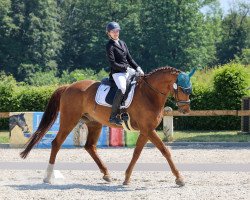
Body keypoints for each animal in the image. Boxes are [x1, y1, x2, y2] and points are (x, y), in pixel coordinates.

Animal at [20, 67, 195, 186]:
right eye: (181, 88)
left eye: (190, 89)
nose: (186, 110)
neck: (149, 94)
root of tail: (68, 86)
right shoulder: (148, 130)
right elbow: (165, 151)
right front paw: (179, 178)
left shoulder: (146, 131)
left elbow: (136, 154)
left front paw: (126, 178)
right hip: (69, 120)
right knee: (56, 143)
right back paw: (48, 177)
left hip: (94, 123)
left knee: (90, 146)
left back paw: (106, 174)